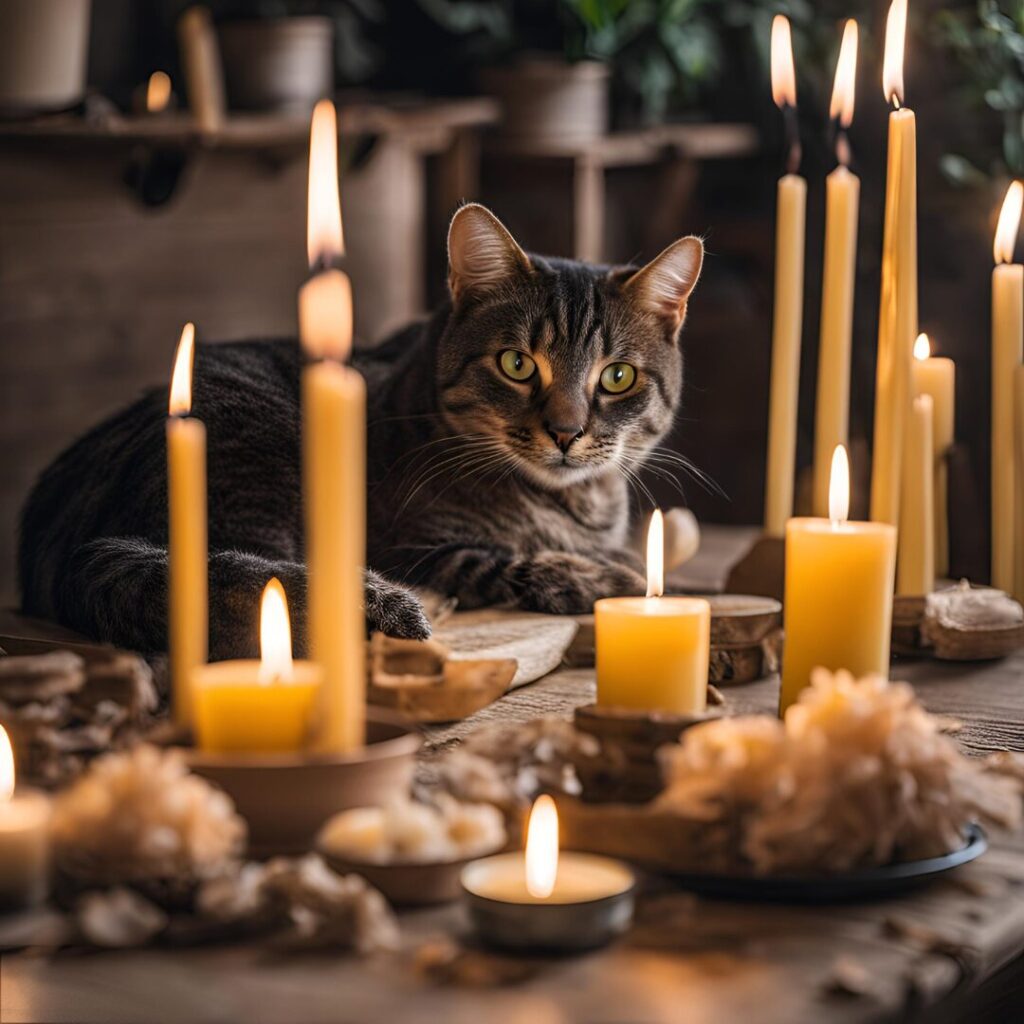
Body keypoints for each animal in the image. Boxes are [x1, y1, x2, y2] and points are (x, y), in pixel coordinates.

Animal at [18, 203, 704, 659]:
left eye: (617, 376)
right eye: (516, 364)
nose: (566, 431)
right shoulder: (413, 544)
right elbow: (507, 560)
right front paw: (617, 575)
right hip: (258, 446)